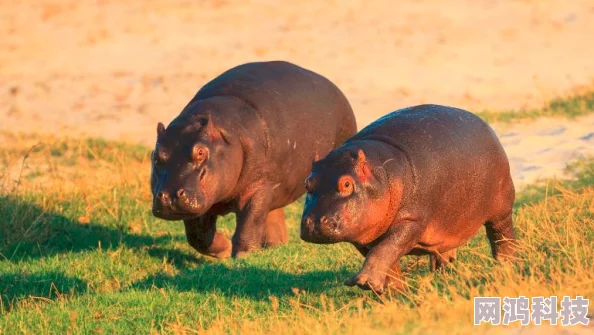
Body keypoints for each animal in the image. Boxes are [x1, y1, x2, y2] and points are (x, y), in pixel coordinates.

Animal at [148, 61, 356, 260]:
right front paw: (225, 251)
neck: (226, 133)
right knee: (274, 216)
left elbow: (249, 224)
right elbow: (197, 236)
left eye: (200, 152)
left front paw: (243, 257)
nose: (169, 196)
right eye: (155, 156)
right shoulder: (203, 201)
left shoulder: (258, 187)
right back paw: (276, 246)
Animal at [300, 105, 512, 294]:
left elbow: (384, 250)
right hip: (450, 219)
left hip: (501, 208)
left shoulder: (411, 221)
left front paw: (364, 282)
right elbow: (388, 259)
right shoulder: (365, 236)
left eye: (346, 184)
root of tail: (484, 124)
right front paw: (392, 291)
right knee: (443, 248)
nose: (315, 223)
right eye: (307, 183)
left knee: (501, 236)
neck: (381, 172)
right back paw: (444, 272)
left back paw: (506, 264)